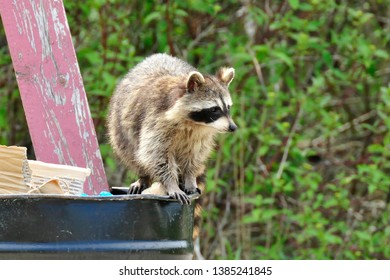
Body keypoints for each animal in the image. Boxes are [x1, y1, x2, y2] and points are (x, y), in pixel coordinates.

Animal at [106, 53, 236, 205]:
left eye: (228, 107)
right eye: (214, 109)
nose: (233, 127)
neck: (194, 123)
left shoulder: (200, 134)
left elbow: (194, 155)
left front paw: (190, 177)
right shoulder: (157, 120)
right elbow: (156, 154)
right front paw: (171, 183)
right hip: (118, 126)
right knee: (130, 152)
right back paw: (143, 176)